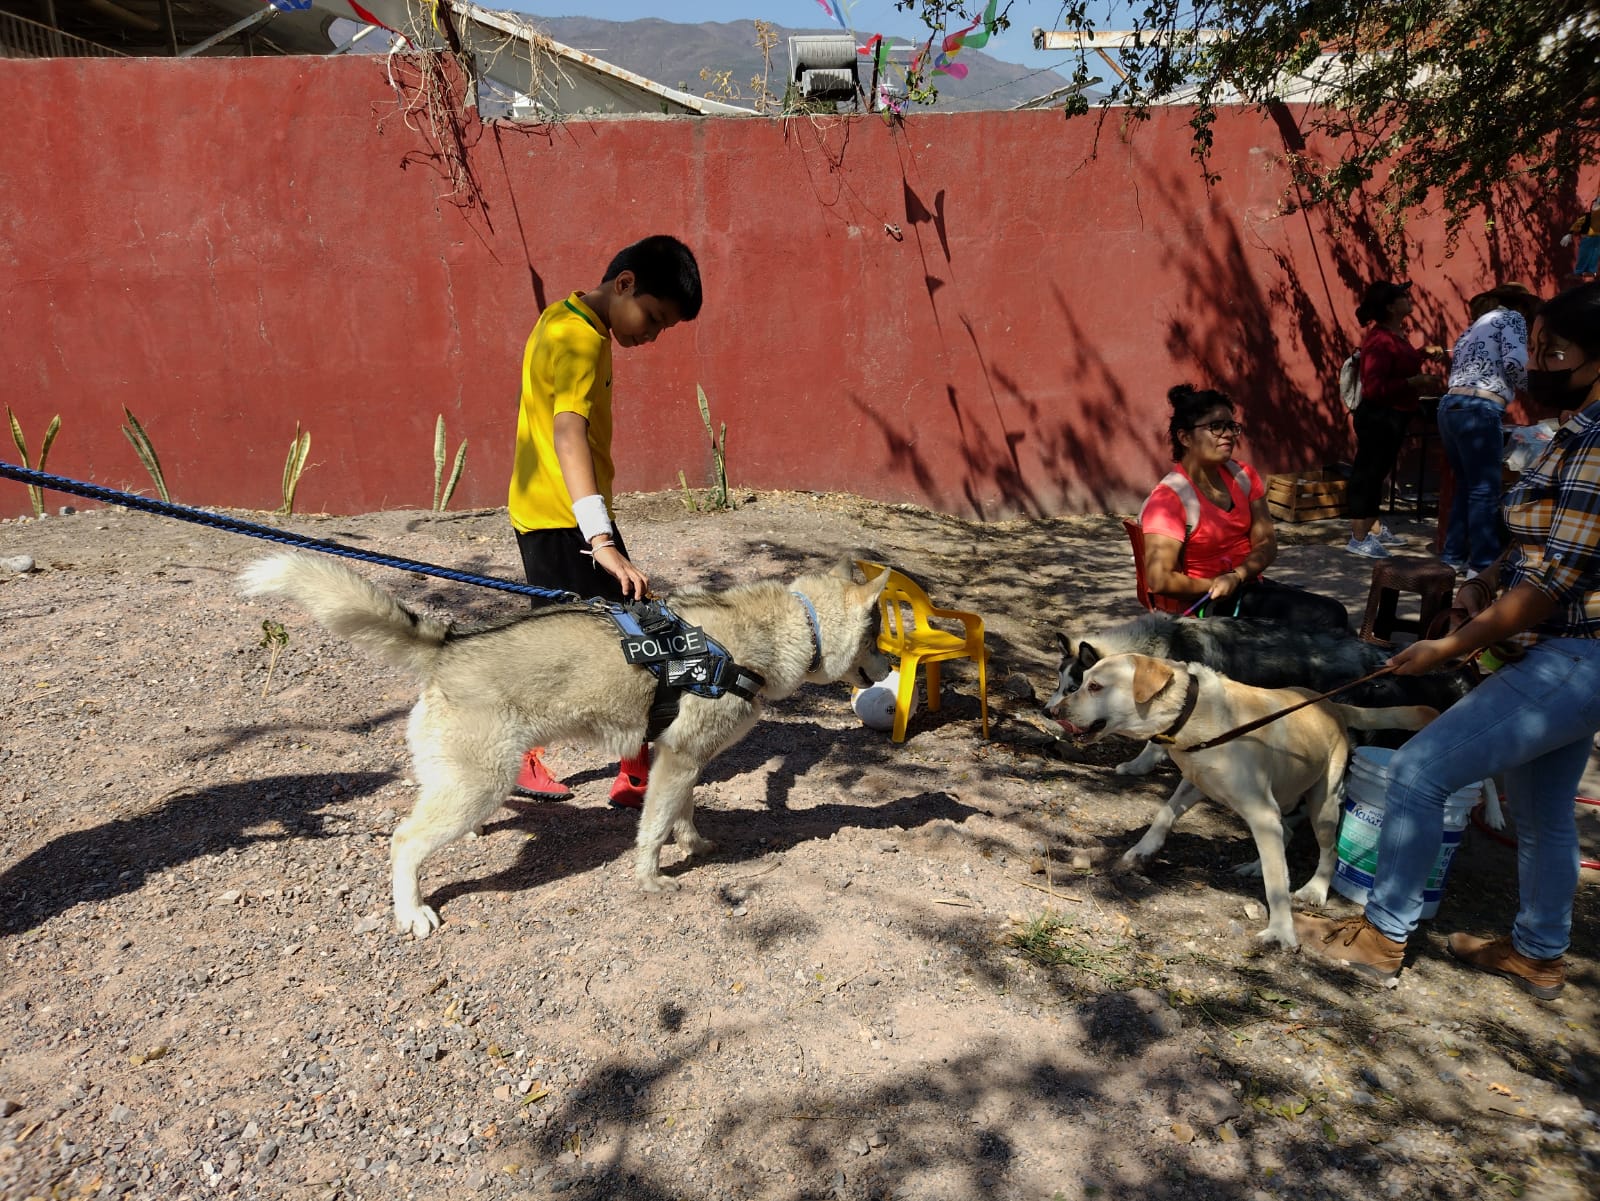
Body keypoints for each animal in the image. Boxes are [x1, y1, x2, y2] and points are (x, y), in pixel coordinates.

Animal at [238, 553, 896, 940]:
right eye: (881, 637)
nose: (891, 671)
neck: (789, 626)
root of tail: (450, 643)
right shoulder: (677, 761)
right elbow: (652, 832)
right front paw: (652, 880)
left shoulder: (680, 762)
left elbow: (682, 817)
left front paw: (696, 844)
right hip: (478, 786)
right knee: (403, 842)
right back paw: (411, 912)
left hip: (465, 785)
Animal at [1049, 658, 1440, 946]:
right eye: (1082, 681)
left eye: (1094, 686)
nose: (1053, 712)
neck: (1195, 712)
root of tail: (1334, 706)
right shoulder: (1196, 784)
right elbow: (1163, 815)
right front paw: (1142, 850)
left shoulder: (1260, 811)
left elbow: (1277, 883)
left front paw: (1282, 930)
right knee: (1286, 834)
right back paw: (1255, 865)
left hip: (1322, 804)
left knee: (1328, 850)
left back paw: (1314, 890)